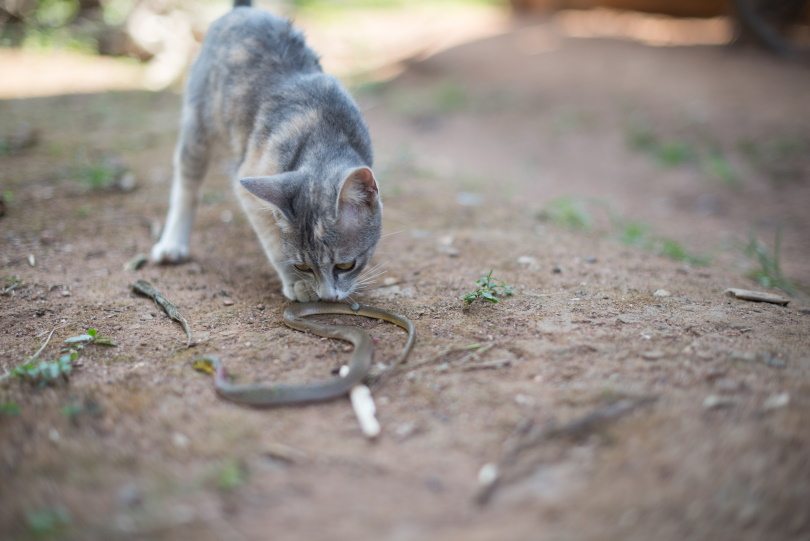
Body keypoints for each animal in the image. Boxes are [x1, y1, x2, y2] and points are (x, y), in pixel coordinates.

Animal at [152, 0, 382, 304]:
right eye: (303, 266)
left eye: (346, 265)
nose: (326, 297)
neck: (321, 132)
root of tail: (244, 10)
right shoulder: (252, 179)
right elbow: (274, 243)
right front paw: (296, 283)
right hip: (197, 127)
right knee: (186, 184)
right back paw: (172, 243)